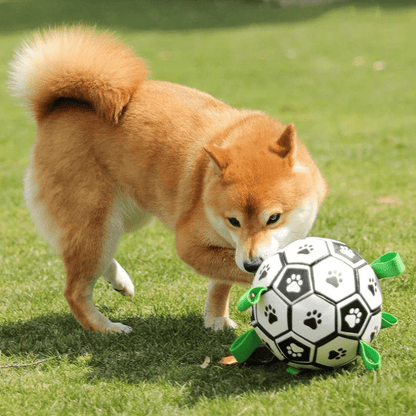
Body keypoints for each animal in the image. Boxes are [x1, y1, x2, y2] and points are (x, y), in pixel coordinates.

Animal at [8, 26, 326, 334]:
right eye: (234, 221)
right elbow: (237, 271)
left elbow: (220, 283)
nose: (252, 263)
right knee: (75, 289)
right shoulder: (192, 246)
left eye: (273, 218)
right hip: (95, 220)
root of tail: (53, 109)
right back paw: (106, 328)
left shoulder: (232, 247)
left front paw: (215, 318)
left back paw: (119, 280)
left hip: (125, 218)